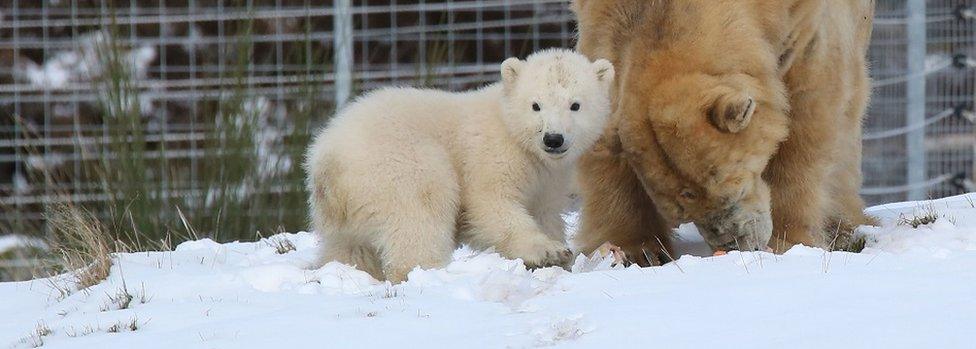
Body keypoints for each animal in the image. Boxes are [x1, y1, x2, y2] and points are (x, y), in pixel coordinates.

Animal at [572, 0, 876, 262]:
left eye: (735, 191)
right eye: (682, 213)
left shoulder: (804, 24)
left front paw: (788, 241)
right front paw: (638, 252)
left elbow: (808, 110)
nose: (734, 246)